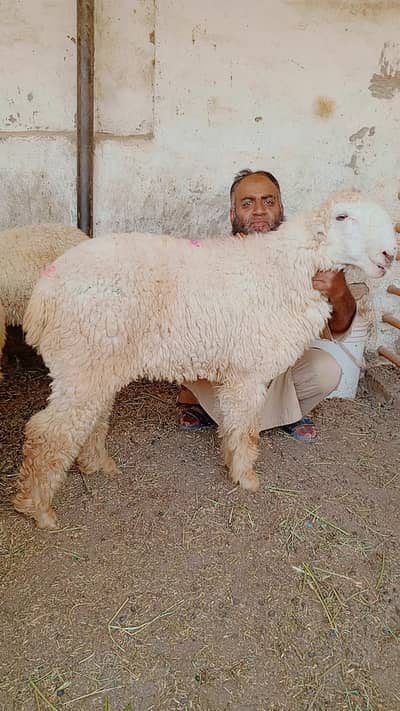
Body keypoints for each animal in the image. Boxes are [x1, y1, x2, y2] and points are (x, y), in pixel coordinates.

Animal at [13, 192, 396, 529]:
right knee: (47, 432)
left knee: (91, 418)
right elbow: (247, 428)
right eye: (342, 217)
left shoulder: (238, 372)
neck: (285, 270)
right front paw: (246, 477)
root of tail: (43, 296)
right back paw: (38, 509)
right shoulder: (248, 370)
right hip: (81, 358)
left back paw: (98, 465)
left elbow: (234, 423)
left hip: (97, 362)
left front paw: (231, 460)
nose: (389, 254)